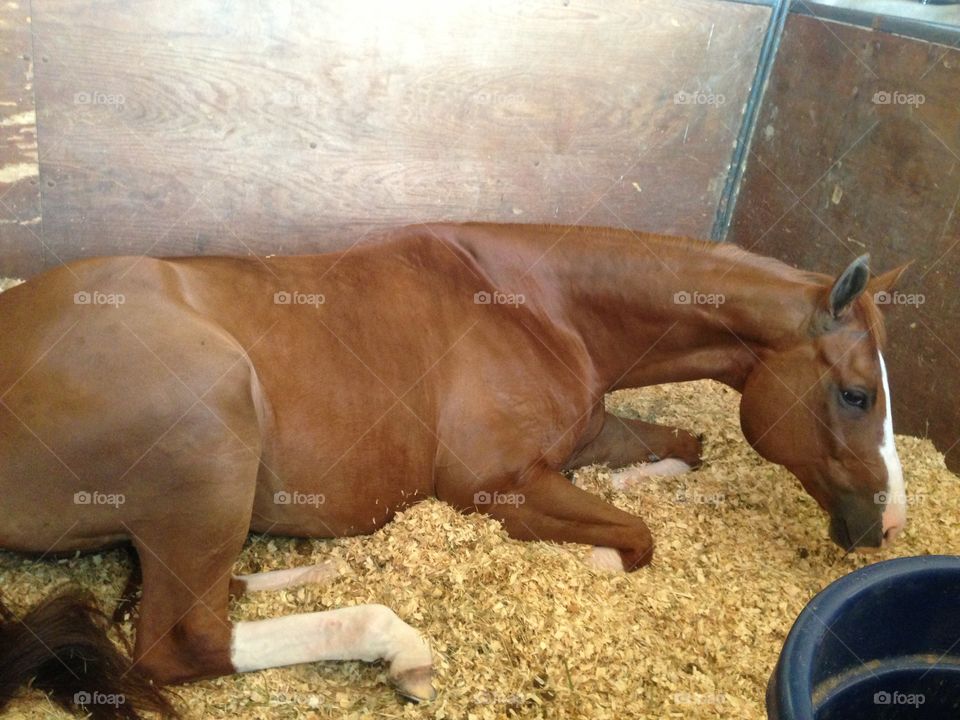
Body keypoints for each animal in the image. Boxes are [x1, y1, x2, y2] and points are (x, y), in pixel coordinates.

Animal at [0, 223, 909, 718]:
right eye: (857, 394)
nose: (887, 524)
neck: (538, 303)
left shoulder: (588, 434)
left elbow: (687, 449)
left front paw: (644, 479)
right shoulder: (495, 487)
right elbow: (635, 539)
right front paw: (596, 555)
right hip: (210, 449)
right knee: (186, 640)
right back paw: (397, 645)